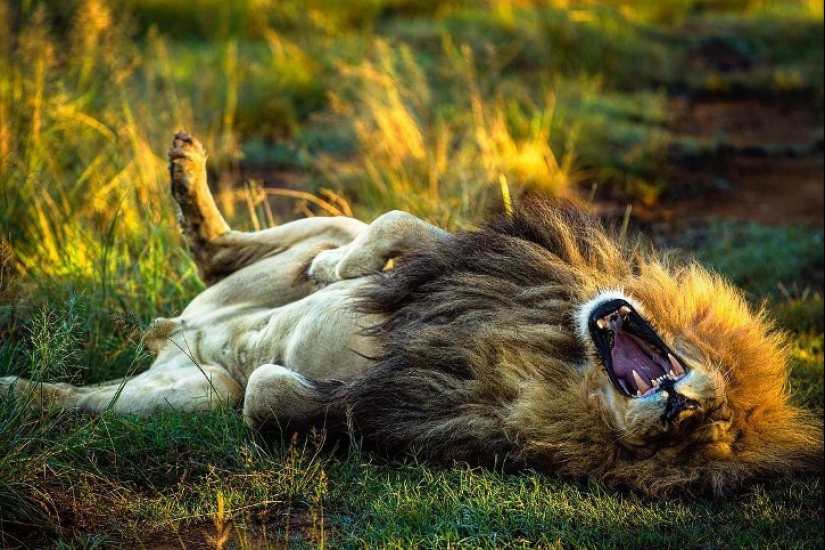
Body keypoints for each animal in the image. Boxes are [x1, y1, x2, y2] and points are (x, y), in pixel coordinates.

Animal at [3, 132, 820, 498]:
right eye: (708, 415)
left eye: (699, 435)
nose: (680, 403)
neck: (549, 349)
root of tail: (175, 335)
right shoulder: (464, 262)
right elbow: (399, 228)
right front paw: (340, 275)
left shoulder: (426, 418)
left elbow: (275, 397)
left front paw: (310, 386)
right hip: (284, 251)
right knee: (239, 251)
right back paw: (193, 173)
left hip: (173, 397)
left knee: (81, 398)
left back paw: (15, 392)